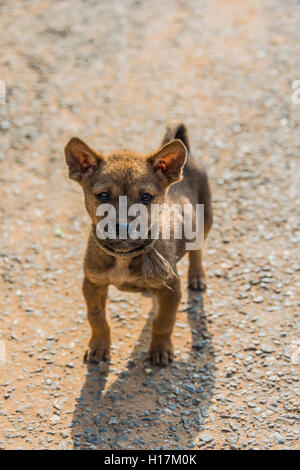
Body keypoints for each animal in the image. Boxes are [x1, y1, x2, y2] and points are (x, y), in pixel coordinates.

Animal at [64, 123, 212, 366]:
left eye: (146, 197)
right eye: (103, 195)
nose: (123, 226)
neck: (123, 254)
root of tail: (188, 159)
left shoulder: (172, 290)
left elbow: (163, 322)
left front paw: (160, 349)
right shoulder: (93, 284)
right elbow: (97, 319)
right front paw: (98, 347)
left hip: (205, 221)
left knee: (197, 251)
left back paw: (197, 276)